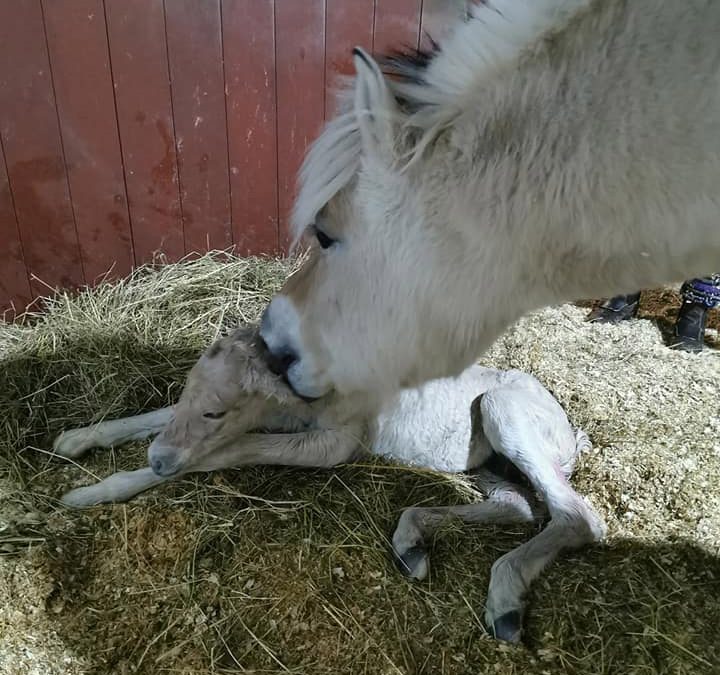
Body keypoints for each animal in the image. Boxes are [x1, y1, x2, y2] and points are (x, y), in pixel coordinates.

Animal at [53, 326, 600, 644]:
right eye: (190, 396)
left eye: (216, 411)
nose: (159, 461)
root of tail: (569, 433)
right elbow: (157, 417)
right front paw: (75, 443)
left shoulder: (335, 442)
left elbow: (229, 450)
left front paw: (93, 489)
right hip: (488, 460)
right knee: (519, 505)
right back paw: (412, 542)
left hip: (503, 411)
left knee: (578, 516)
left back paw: (504, 602)